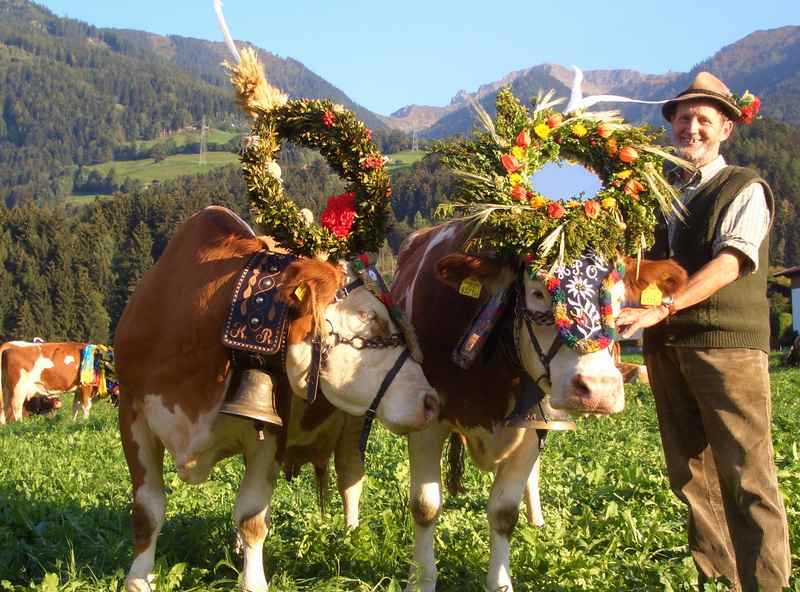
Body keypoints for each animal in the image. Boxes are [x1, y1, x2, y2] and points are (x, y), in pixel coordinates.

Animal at [112, 207, 438, 592]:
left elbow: (252, 516)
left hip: (353, 425)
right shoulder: (132, 417)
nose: (432, 400)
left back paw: (350, 535)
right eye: (369, 318)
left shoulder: (269, 434)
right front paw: (138, 578)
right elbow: (147, 511)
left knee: (350, 478)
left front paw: (252, 582)